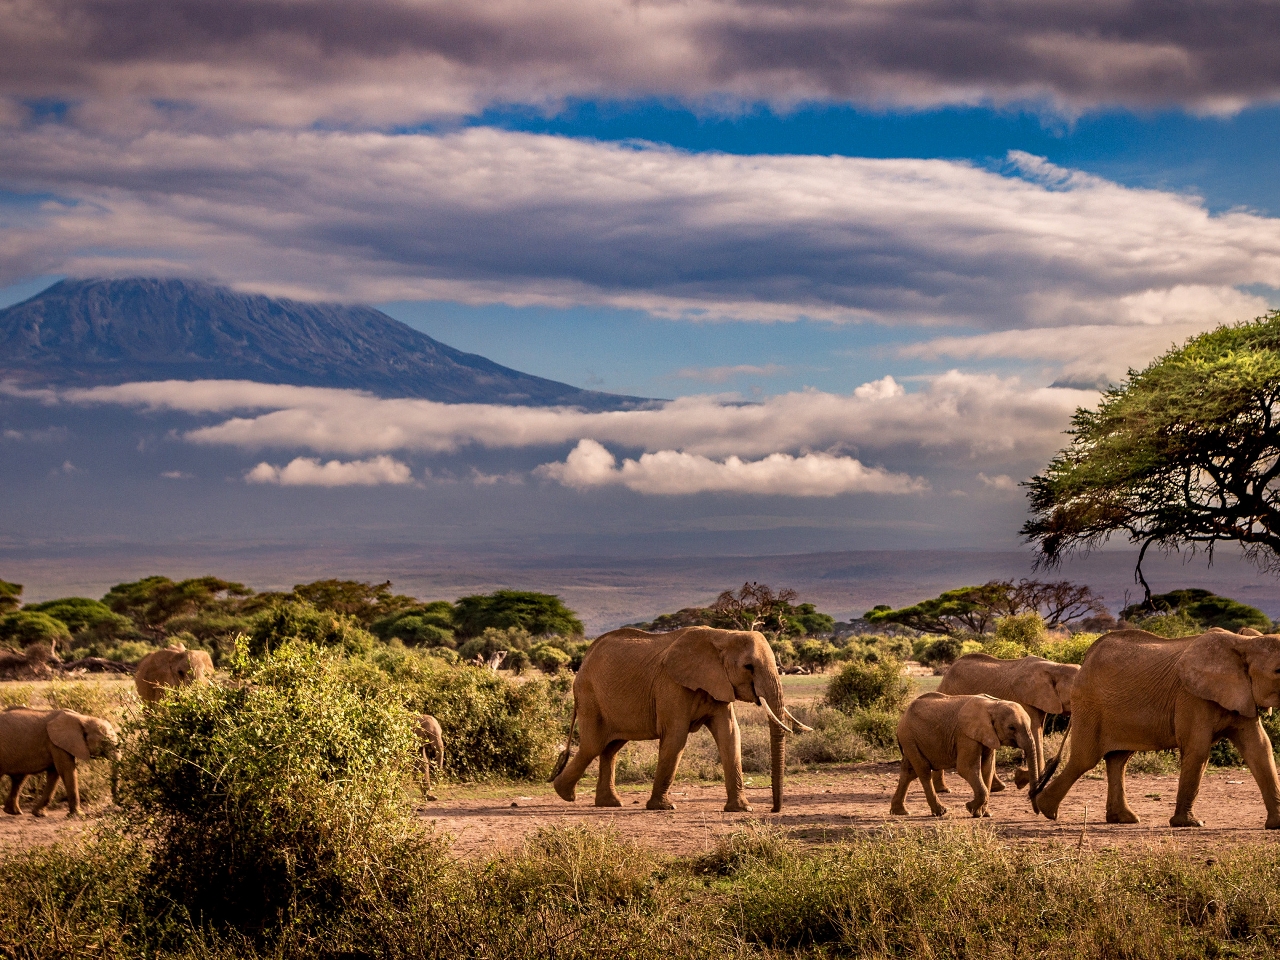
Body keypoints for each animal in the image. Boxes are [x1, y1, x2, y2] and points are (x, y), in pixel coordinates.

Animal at [552, 627, 808, 814]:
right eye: (748, 667)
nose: (774, 810)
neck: (722, 636)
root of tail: (584, 659)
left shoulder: (719, 684)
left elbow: (730, 735)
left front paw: (742, 809)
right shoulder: (672, 685)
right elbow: (676, 737)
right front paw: (664, 807)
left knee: (611, 747)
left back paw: (609, 803)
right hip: (589, 696)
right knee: (593, 745)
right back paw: (564, 794)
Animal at [890, 691, 1039, 819]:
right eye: (1011, 727)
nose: (1037, 811)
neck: (993, 705)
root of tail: (902, 717)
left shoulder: (988, 735)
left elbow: (987, 769)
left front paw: (984, 814)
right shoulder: (965, 736)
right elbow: (966, 768)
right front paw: (970, 808)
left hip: (911, 740)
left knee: (909, 772)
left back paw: (900, 812)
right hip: (909, 737)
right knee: (923, 771)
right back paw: (940, 812)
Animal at [931, 655, 1080, 798]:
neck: (1055, 667)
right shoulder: (1025, 700)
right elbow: (1034, 732)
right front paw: (1021, 779)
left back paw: (996, 788)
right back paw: (944, 790)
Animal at [1029, 627, 1280, 829]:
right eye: (1278, 671)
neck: (1244, 643)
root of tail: (1087, 658)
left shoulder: (1243, 695)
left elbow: (1260, 750)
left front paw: (1276, 825)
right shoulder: (1191, 697)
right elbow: (1198, 751)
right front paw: (1190, 824)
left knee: (1118, 760)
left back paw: (1124, 819)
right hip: (1089, 704)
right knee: (1085, 759)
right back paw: (1045, 809)